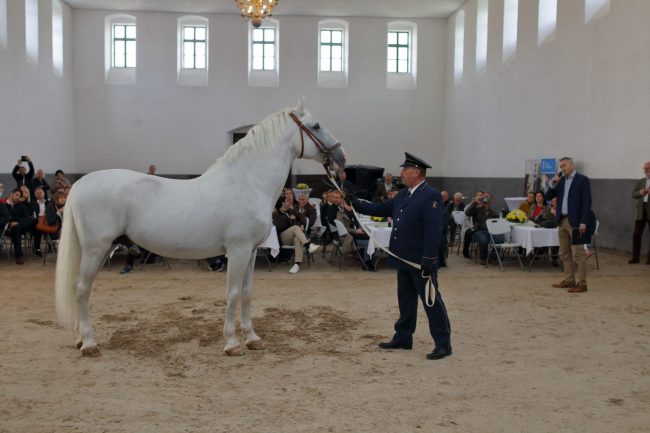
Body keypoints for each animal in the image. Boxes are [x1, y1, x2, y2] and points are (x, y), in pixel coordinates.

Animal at [55, 100, 346, 354]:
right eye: (316, 125)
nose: (341, 158)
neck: (247, 182)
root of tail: (81, 183)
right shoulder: (238, 251)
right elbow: (232, 293)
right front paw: (232, 343)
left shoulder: (252, 251)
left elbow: (247, 293)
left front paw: (252, 338)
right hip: (96, 249)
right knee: (82, 288)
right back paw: (89, 344)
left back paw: (81, 340)